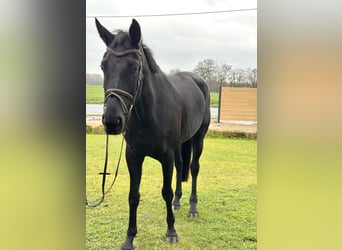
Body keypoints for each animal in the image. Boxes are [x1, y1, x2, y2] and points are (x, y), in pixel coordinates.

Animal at [95, 19, 210, 250]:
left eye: (134, 67)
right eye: (103, 66)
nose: (112, 121)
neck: (149, 113)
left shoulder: (165, 157)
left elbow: (165, 191)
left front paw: (171, 232)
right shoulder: (133, 156)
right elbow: (133, 196)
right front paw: (129, 239)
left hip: (198, 138)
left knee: (193, 169)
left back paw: (192, 207)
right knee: (181, 166)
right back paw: (177, 202)